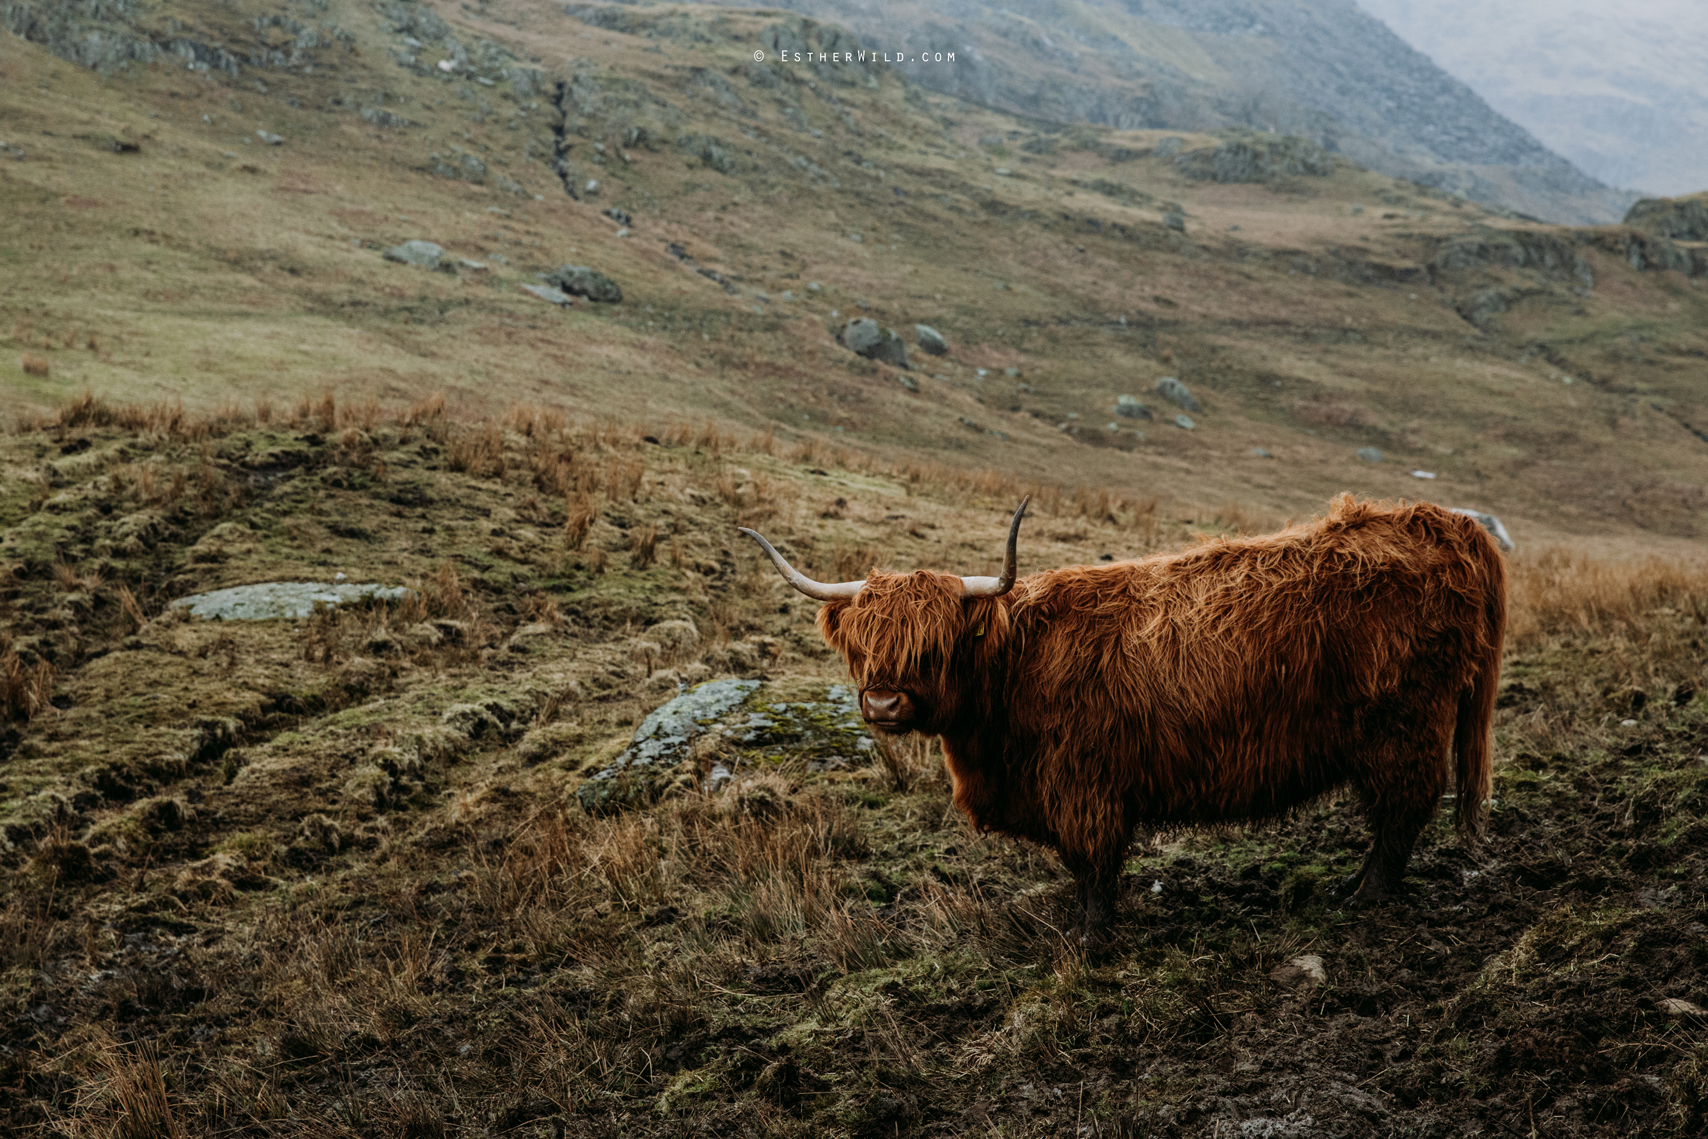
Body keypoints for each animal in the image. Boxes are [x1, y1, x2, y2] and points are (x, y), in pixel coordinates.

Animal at [741, 495, 1503, 942]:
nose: (883, 703)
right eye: (865, 646)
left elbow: (1094, 865)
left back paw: (1363, 899)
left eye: (933, 645)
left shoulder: (1084, 785)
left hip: (1405, 723)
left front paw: (1091, 940)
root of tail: (1442, 520)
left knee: (1404, 809)